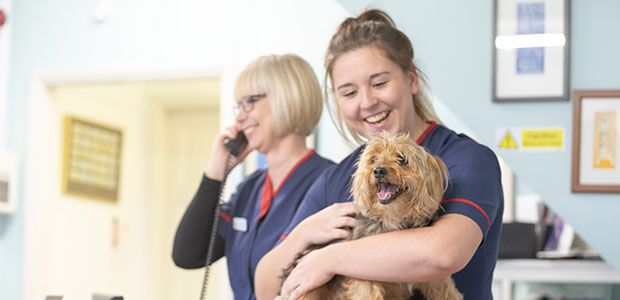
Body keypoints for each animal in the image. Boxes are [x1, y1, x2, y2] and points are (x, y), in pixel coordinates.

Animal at [278, 134, 462, 300]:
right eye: (374, 159)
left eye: (402, 159)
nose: (378, 170)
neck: (392, 222)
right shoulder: (359, 271)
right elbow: (367, 290)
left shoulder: (434, 280)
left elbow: (446, 289)